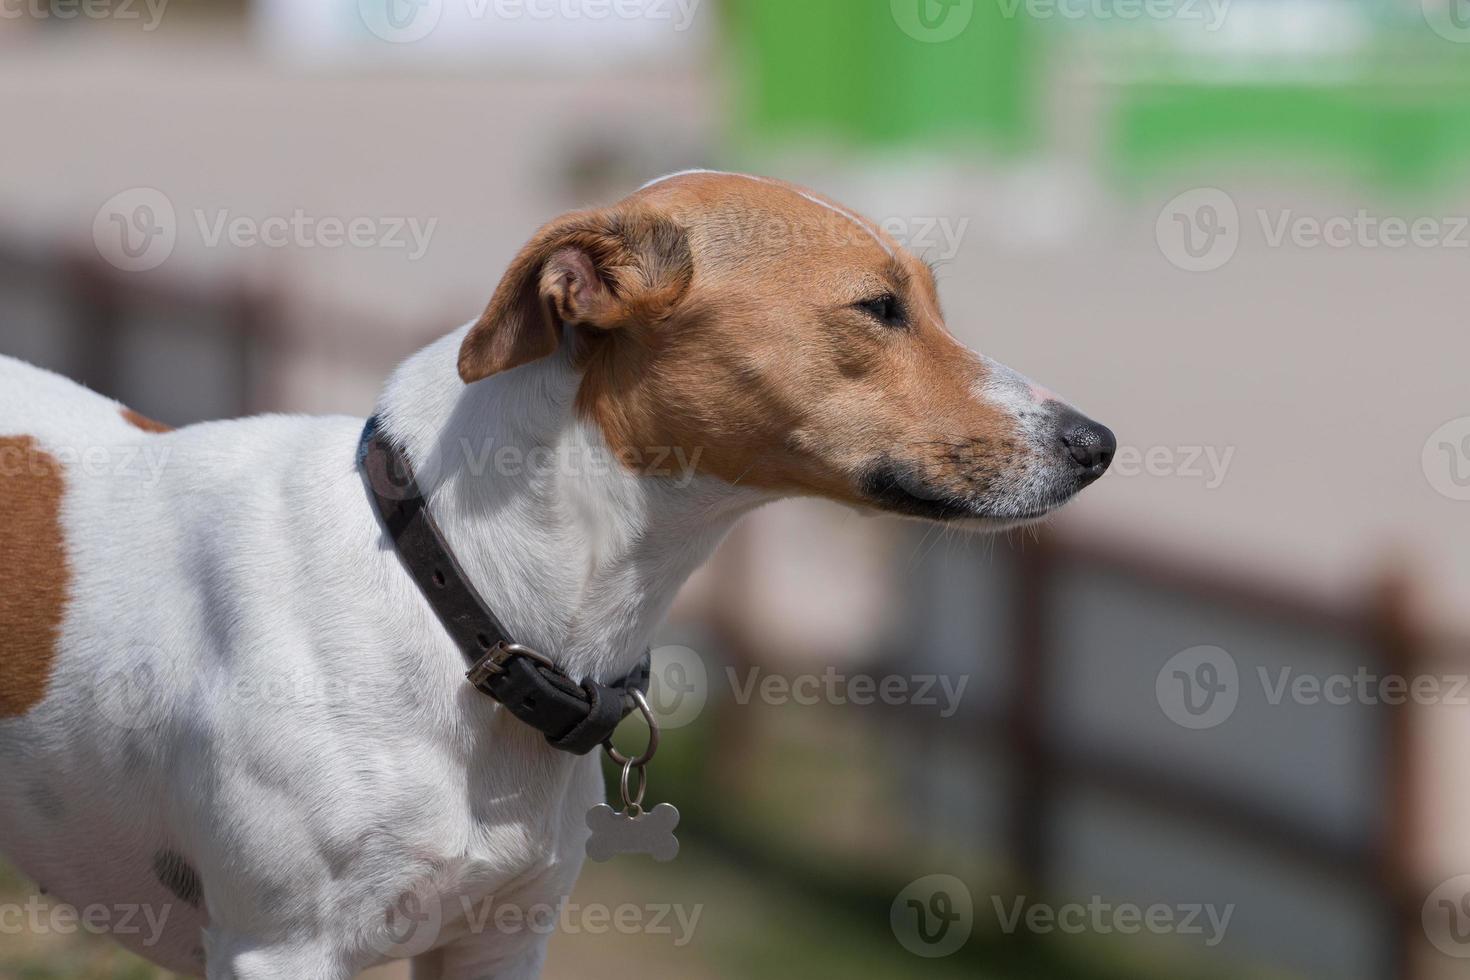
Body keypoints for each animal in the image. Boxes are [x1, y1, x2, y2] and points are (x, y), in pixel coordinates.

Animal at [0, 172, 1105, 975]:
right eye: (877, 308)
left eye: (929, 301)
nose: (1098, 443)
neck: (453, 596)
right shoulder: (281, 948)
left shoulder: (498, 937)